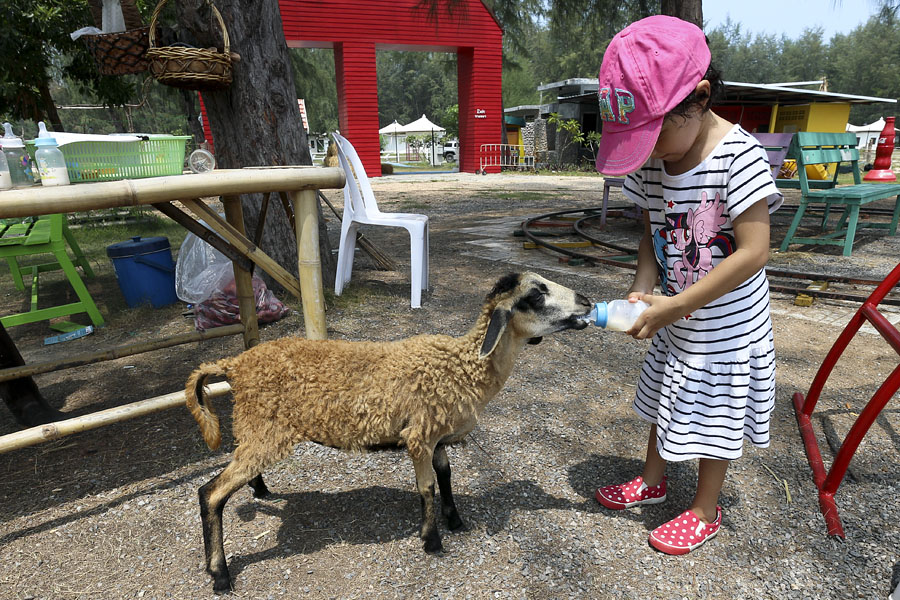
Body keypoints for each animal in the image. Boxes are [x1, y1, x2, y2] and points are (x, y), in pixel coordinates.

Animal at [185, 271, 591, 593]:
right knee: (211, 494)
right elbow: (426, 487)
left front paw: (456, 521)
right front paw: (432, 541)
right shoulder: (419, 435)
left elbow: (446, 476)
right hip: (265, 431)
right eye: (536, 294)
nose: (586, 302)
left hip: (256, 429)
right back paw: (220, 576)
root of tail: (234, 364)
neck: (463, 367)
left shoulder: (436, 438)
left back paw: (261, 491)